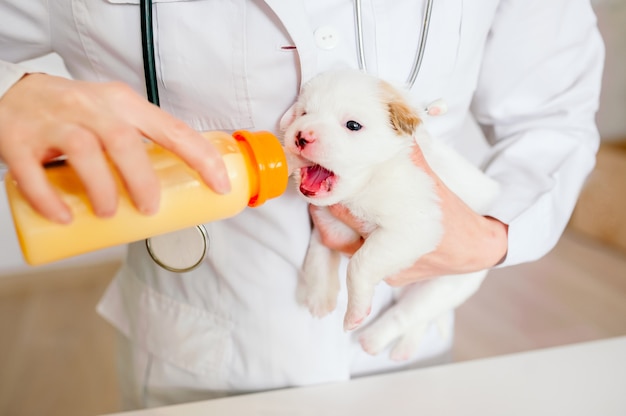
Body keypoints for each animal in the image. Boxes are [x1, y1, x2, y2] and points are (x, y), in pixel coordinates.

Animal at [280, 70, 500, 360]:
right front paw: (319, 295)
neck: (366, 183)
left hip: (446, 286)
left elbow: (358, 265)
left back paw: (372, 340)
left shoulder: (412, 228)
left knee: (409, 314)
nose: (302, 136)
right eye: (304, 113)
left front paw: (355, 312)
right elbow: (319, 249)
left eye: (352, 125)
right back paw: (404, 348)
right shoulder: (328, 221)